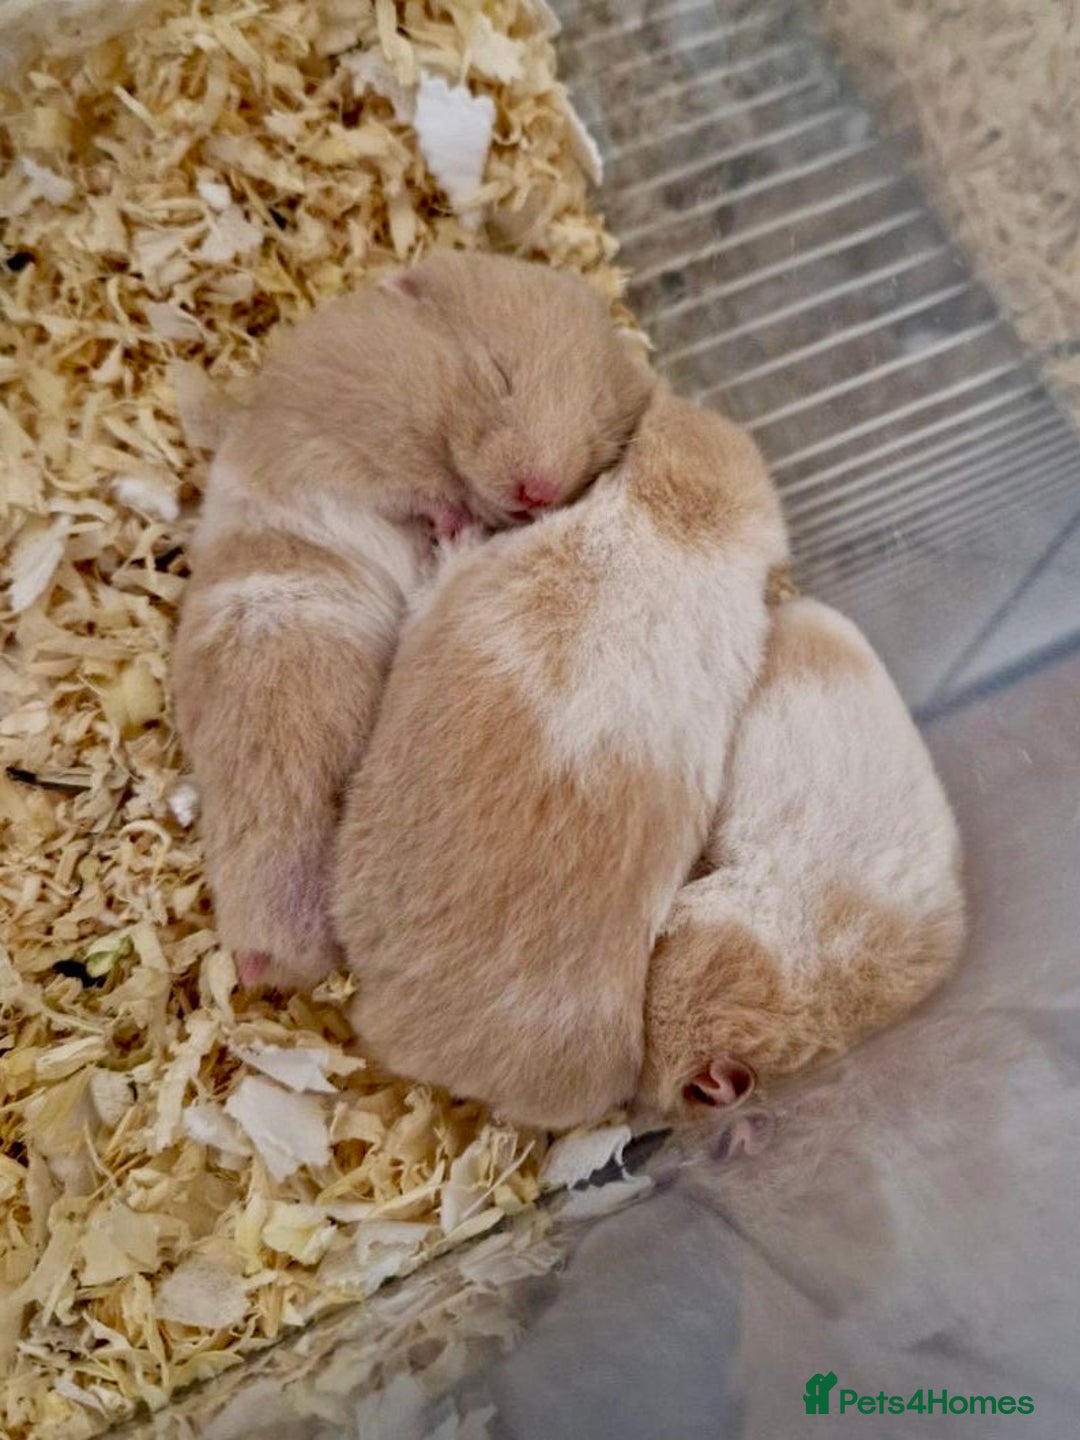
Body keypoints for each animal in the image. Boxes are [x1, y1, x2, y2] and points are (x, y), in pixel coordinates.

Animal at [172, 252, 655, 991]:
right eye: (498, 372)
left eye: (600, 432)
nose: (538, 491)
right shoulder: (340, 447)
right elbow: (408, 490)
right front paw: (447, 520)